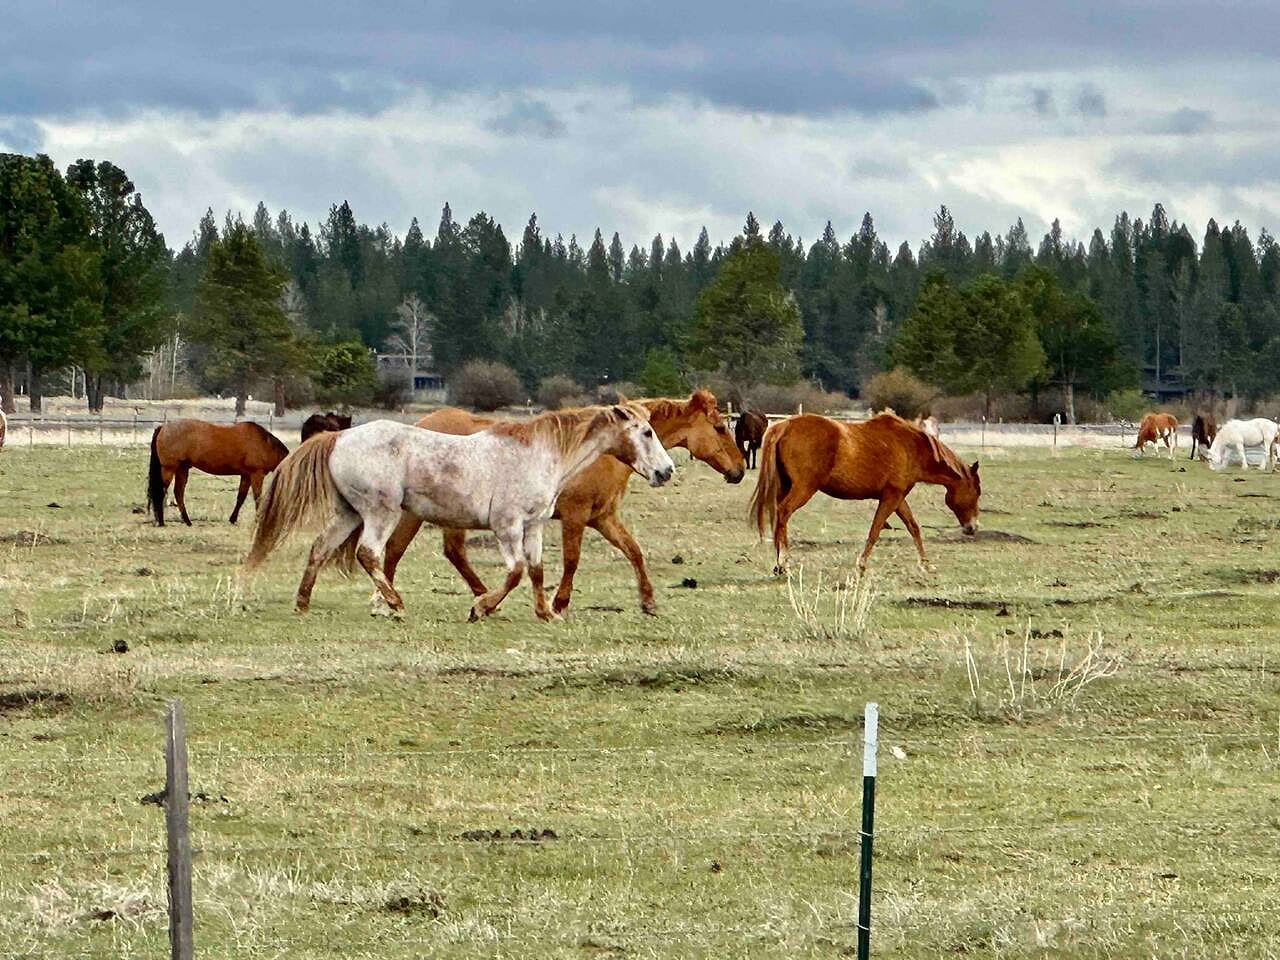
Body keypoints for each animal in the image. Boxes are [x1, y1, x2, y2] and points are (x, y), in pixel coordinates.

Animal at [147, 419, 289, 526]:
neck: (265, 444)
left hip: (182, 469)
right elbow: (258, 497)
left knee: (178, 493)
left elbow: (241, 498)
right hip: (169, 469)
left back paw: (187, 521)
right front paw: (258, 519)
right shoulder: (256, 474)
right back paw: (161, 521)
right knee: (161, 492)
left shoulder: (246, 476)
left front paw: (233, 519)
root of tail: (163, 427)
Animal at [245, 403, 675, 622]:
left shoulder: (534, 525)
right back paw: (395, 604)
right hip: (381, 512)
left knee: (320, 548)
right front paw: (481, 607)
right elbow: (516, 572)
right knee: (369, 554)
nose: (666, 471)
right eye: (646, 432)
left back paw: (303, 604)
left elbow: (536, 571)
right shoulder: (507, 525)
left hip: (350, 512)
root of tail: (339, 436)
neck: (540, 453)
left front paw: (546, 612)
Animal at [380, 390, 745, 616]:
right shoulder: (576, 516)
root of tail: (418, 425)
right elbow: (572, 560)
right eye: (719, 427)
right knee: (415, 550)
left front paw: (648, 601)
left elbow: (634, 551)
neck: (603, 453)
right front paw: (560, 603)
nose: (740, 470)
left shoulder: (604, 517)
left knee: (420, 551)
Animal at [749, 413, 981, 573]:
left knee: (778, 518)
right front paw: (861, 564)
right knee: (783, 514)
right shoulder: (891, 497)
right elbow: (876, 529)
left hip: (786, 487)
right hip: (803, 489)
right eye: (976, 492)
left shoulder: (898, 498)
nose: (972, 528)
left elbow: (913, 527)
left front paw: (925, 563)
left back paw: (779, 562)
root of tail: (784, 426)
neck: (911, 446)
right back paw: (783, 562)